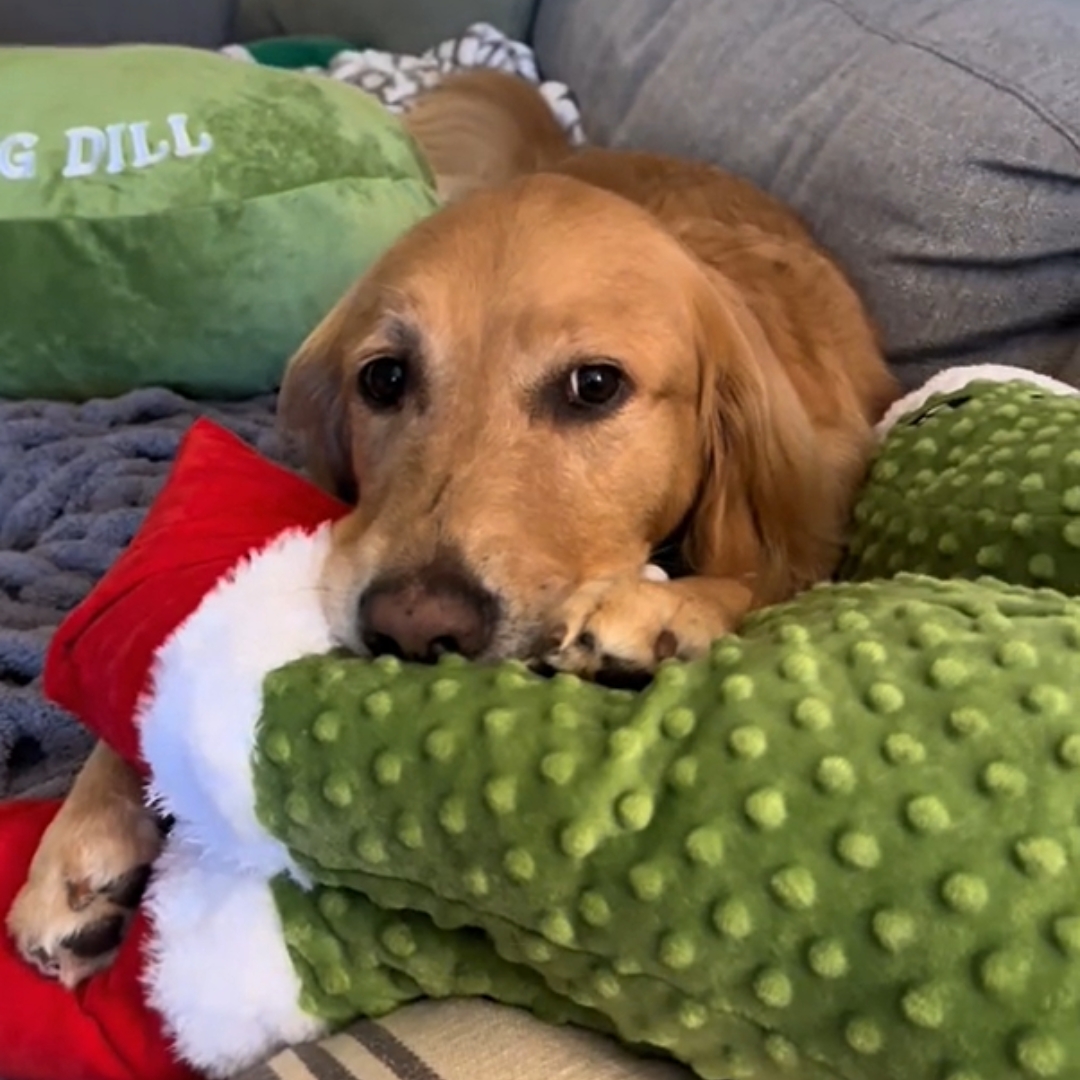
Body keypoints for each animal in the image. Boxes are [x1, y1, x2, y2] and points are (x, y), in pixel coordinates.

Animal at [12, 73, 898, 989]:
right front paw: (81, 837)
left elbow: (754, 577)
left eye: (594, 385)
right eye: (384, 378)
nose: (412, 626)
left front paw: (665, 609)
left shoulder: (814, 521)